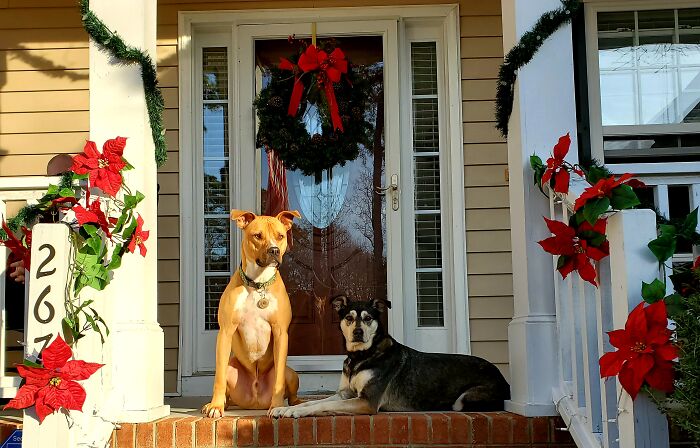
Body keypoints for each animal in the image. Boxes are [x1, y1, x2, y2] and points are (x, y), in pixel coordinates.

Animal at [202, 209, 303, 417]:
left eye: (281, 236)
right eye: (257, 235)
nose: (274, 250)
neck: (258, 284)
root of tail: (255, 403)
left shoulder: (280, 333)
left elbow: (278, 380)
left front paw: (277, 406)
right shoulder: (225, 332)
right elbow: (218, 378)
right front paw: (216, 406)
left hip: (291, 373)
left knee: (291, 390)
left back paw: (295, 403)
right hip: (232, 370)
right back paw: (217, 403)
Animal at [270, 295, 510, 417]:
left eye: (368, 318)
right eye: (349, 317)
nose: (358, 332)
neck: (361, 356)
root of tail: (504, 379)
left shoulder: (366, 401)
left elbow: (319, 406)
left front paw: (294, 412)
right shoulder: (345, 394)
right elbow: (310, 402)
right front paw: (285, 408)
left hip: (462, 401)